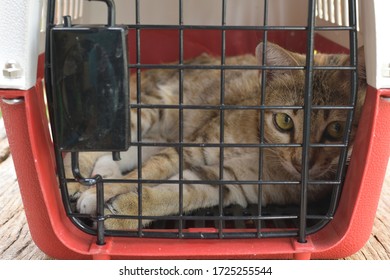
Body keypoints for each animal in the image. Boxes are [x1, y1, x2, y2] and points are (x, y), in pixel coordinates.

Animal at [64, 41, 366, 230]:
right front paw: (101, 194)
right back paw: (73, 178)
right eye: (284, 121)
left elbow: (177, 194)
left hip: (158, 136)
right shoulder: (190, 149)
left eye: (336, 129)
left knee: (116, 154)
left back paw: (100, 175)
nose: (301, 163)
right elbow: (148, 172)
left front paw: (124, 210)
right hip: (150, 109)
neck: (262, 146)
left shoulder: (227, 180)